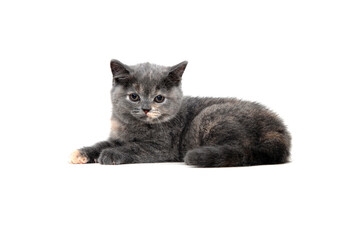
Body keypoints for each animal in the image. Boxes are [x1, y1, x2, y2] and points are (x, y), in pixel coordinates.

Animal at [69, 60, 290, 167]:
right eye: (134, 96)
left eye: (159, 98)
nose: (146, 108)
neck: (134, 126)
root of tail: (278, 128)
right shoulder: (116, 136)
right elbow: (101, 144)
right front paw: (82, 153)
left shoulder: (161, 147)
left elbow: (134, 147)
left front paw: (111, 154)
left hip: (210, 116)